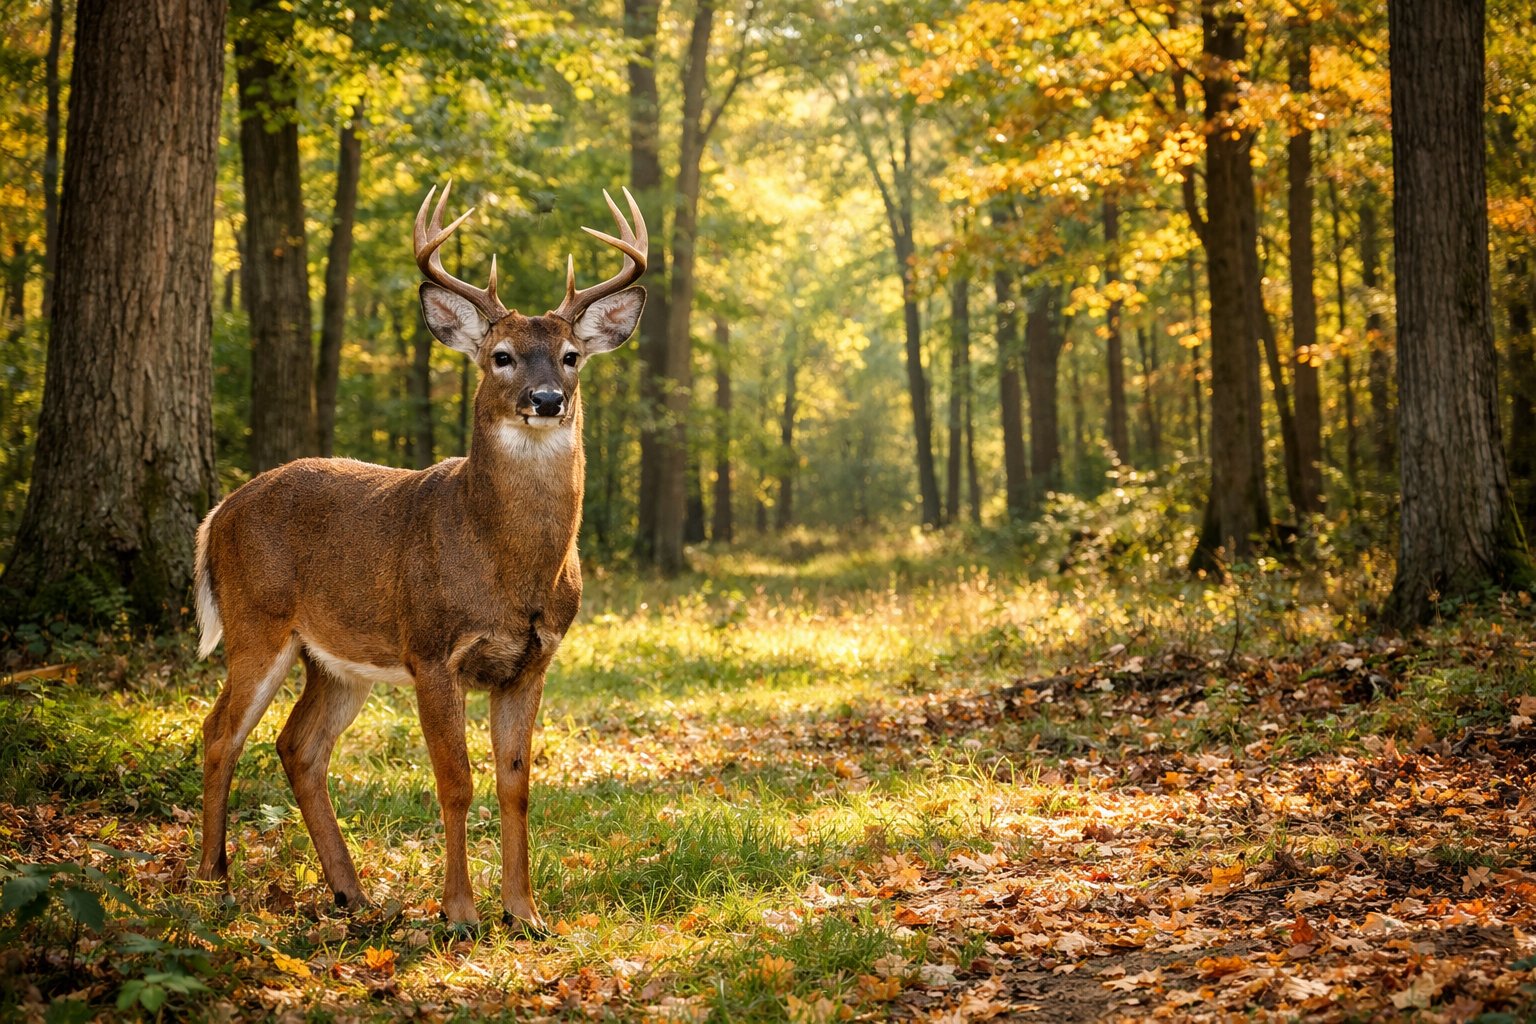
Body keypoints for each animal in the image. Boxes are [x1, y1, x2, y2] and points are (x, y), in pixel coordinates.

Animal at [192, 181, 646, 930]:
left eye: (572, 355)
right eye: (501, 355)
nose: (547, 399)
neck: (508, 567)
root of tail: (217, 513)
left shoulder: (532, 660)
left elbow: (517, 784)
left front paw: (524, 913)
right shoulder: (433, 650)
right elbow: (455, 781)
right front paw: (459, 913)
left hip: (335, 659)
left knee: (299, 746)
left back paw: (353, 894)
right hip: (256, 622)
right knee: (219, 731)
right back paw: (212, 880)